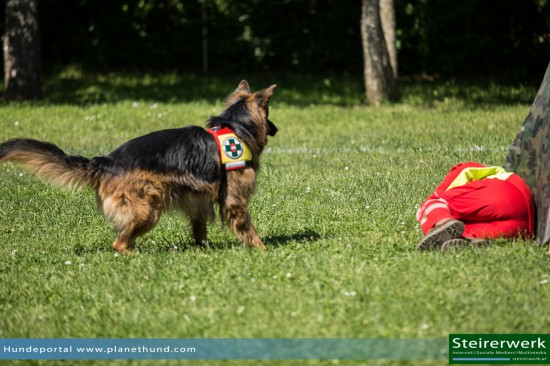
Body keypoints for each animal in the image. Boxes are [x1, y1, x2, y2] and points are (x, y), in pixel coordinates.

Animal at [0, 79, 276, 252]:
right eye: (269, 114)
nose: (276, 129)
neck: (237, 127)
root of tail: (106, 162)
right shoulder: (235, 202)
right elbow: (247, 227)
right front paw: (261, 249)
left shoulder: (196, 201)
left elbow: (200, 229)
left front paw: (203, 249)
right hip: (147, 209)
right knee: (119, 245)